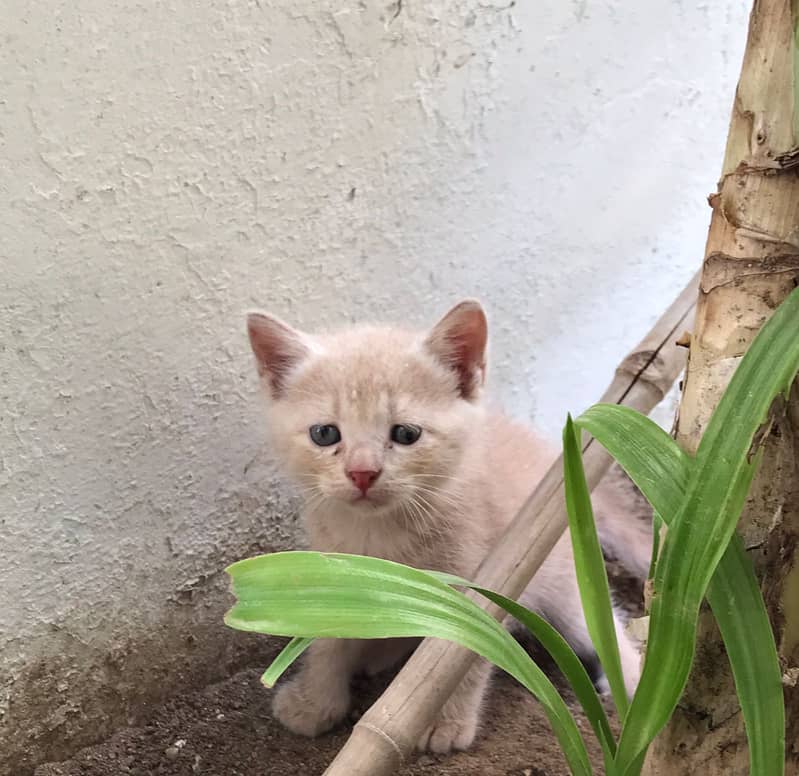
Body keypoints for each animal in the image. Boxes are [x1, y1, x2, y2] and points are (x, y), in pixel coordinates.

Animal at [247, 300, 652, 756]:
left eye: (406, 433)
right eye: (324, 433)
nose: (362, 473)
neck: (378, 533)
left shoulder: (482, 580)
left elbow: (461, 650)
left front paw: (446, 721)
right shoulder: (327, 567)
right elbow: (326, 638)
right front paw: (316, 702)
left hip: (560, 577)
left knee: (601, 626)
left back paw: (632, 686)